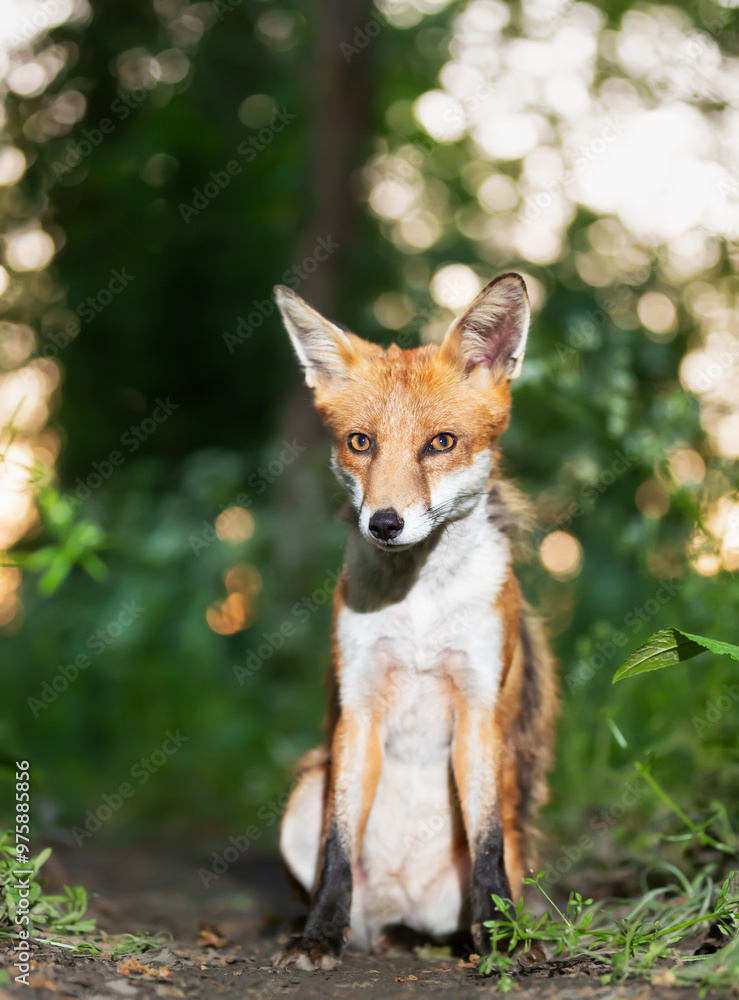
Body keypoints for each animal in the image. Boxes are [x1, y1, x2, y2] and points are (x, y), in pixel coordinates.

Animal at [272, 272, 558, 971]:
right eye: (361, 442)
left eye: (441, 443)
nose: (384, 523)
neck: (421, 611)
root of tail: (394, 908)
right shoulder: (358, 707)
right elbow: (338, 849)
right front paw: (319, 935)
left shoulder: (479, 708)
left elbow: (486, 850)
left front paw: (500, 941)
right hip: (304, 792)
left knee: (465, 897)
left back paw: (458, 939)